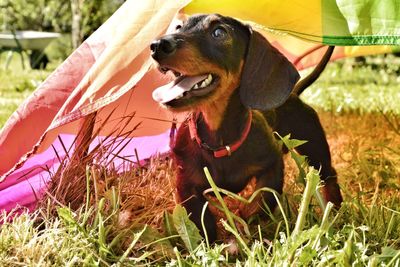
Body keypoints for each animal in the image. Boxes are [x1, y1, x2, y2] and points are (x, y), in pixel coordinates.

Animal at [152, 13, 342, 243]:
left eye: (219, 32)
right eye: (179, 26)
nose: (157, 45)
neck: (221, 142)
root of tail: (294, 93)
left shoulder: (272, 165)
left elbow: (261, 200)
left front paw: (243, 222)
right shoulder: (186, 182)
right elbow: (200, 221)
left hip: (315, 148)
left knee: (329, 176)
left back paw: (335, 209)